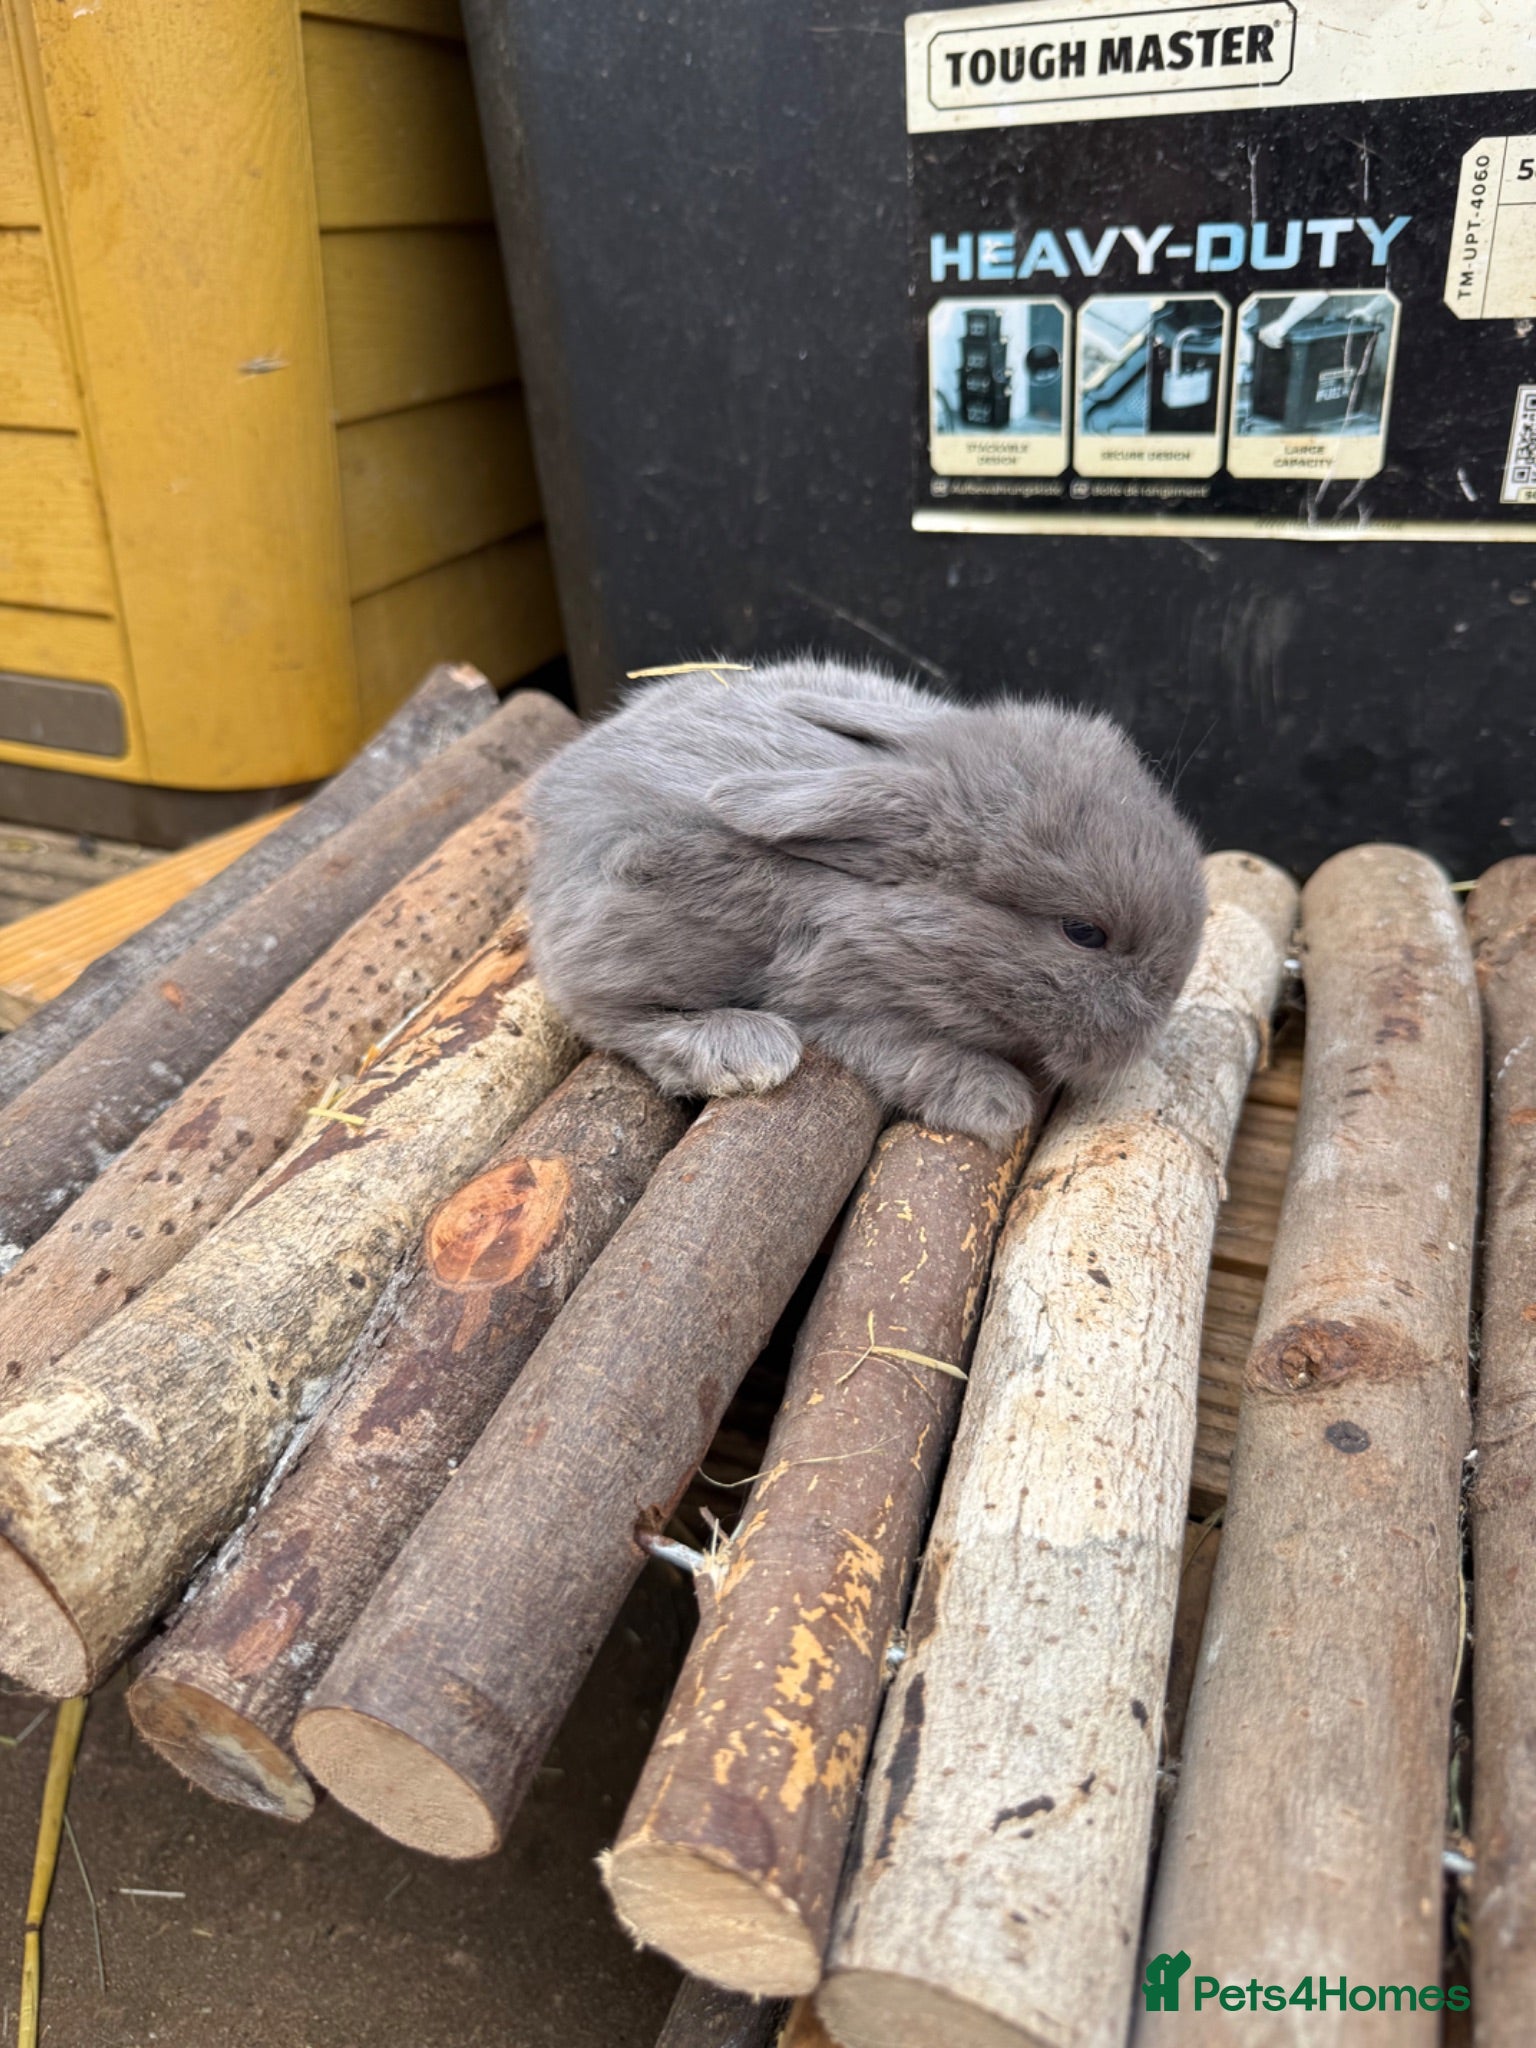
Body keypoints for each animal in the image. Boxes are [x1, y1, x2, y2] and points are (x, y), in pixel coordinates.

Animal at [524, 656, 1207, 1146]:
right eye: (1082, 932)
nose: (1148, 1034)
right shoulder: (840, 1001)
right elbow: (914, 1056)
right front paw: (996, 1103)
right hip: (627, 933)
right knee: (601, 1012)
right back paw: (748, 1051)